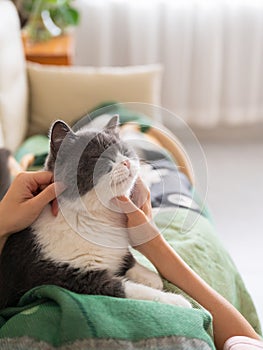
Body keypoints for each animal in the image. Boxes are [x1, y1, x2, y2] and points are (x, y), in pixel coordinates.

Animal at [0, 115, 191, 308]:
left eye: (125, 151)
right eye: (99, 156)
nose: (126, 162)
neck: (97, 216)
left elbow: (126, 257)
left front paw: (150, 276)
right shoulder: (66, 278)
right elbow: (127, 289)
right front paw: (175, 300)